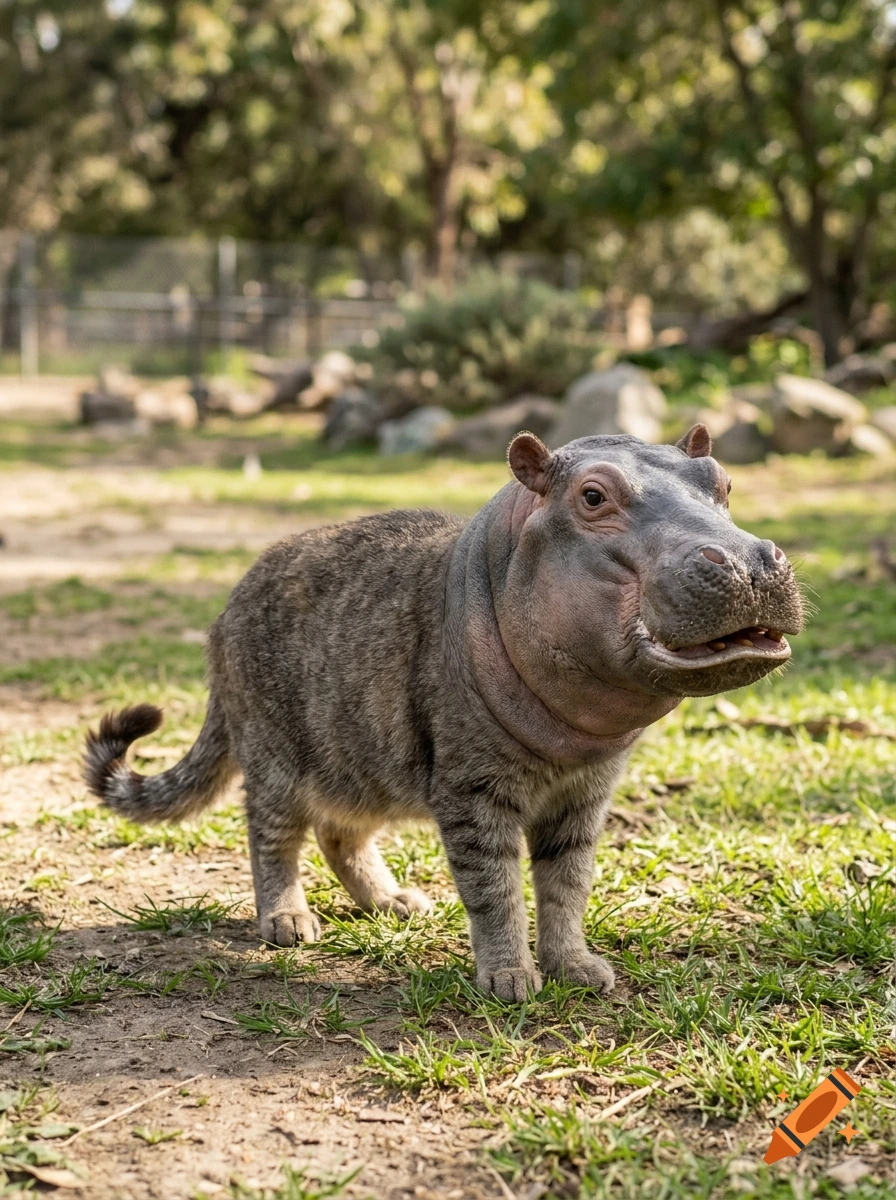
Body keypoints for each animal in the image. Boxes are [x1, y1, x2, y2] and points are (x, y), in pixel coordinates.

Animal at [84, 426, 803, 1000]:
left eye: (723, 483)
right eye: (593, 497)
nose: (747, 560)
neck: (574, 738)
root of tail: (223, 613)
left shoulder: (585, 797)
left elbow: (567, 887)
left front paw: (571, 965)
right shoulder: (470, 789)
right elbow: (495, 890)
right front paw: (509, 975)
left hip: (363, 756)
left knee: (339, 834)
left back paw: (388, 899)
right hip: (277, 760)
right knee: (274, 837)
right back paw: (286, 917)